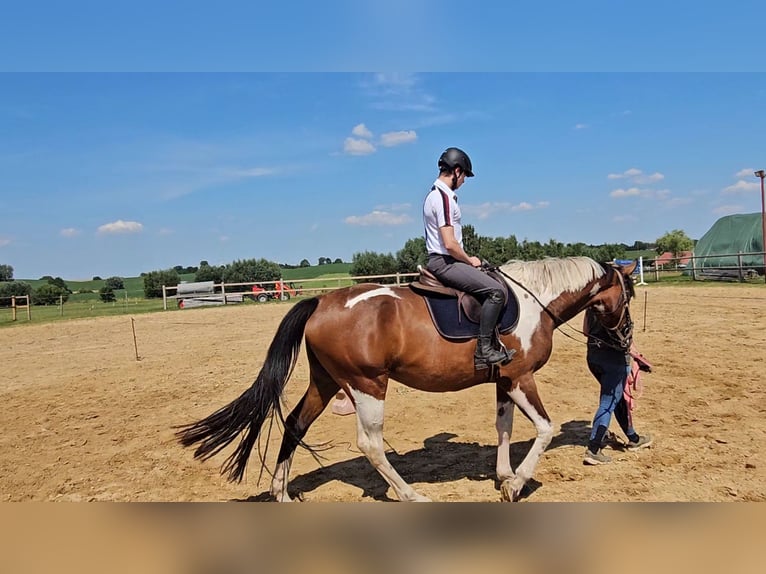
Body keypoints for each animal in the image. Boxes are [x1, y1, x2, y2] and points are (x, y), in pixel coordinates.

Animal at [178, 258, 636, 502]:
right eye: (628, 294)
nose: (626, 337)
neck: (533, 303)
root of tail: (322, 302)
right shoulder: (521, 377)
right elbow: (544, 428)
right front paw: (516, 484)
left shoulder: (504, 381)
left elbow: (503, 426)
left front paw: (504, 475)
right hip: (366, 385)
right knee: (369, 444)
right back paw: (409, 494)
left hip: (326, 381)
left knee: (294, 425)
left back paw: (282, 492)